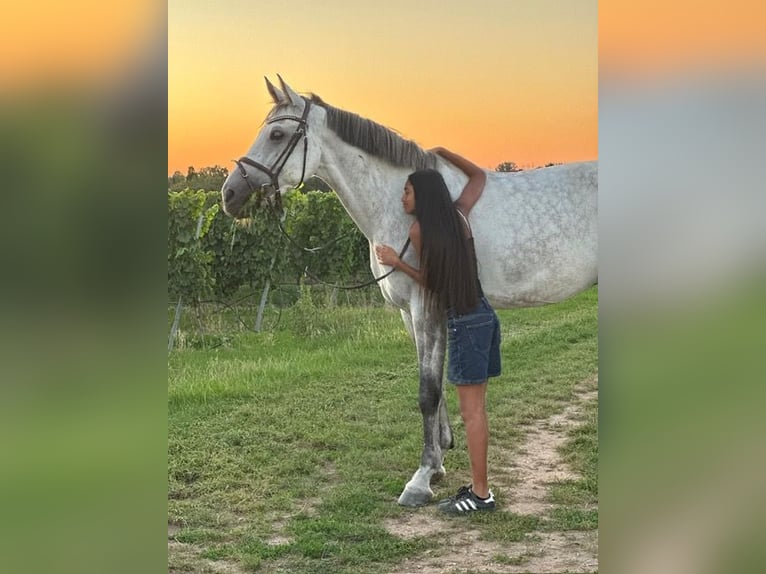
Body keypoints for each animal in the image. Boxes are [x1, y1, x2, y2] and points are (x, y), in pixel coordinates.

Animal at [221, 76, 597, 507]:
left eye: (278, 134)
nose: (229, 195)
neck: (406, 205)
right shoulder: (409, 312)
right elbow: (435, 389)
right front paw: (437, 463)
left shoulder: (425, 305)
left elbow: (427, 392)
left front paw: (419, 480)